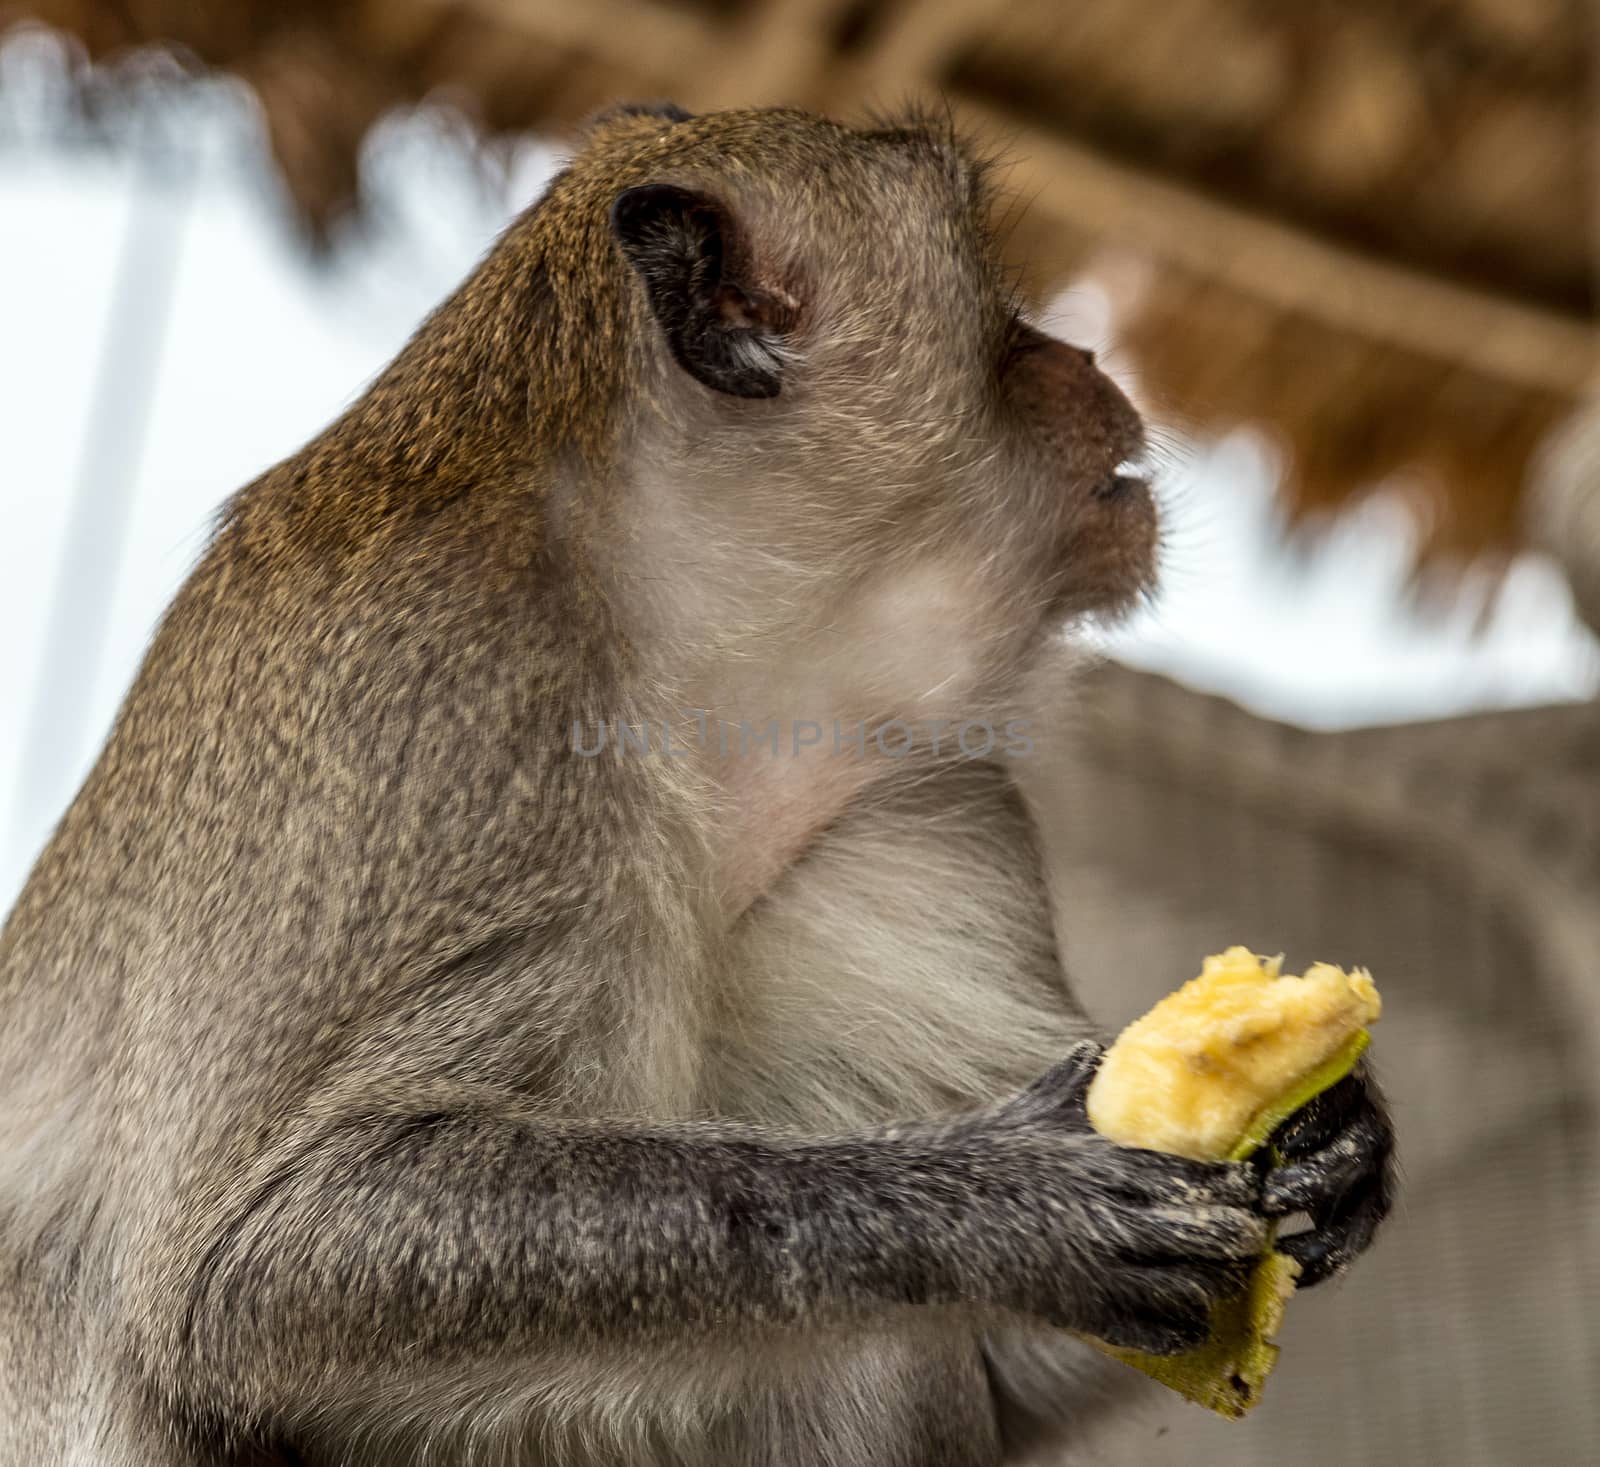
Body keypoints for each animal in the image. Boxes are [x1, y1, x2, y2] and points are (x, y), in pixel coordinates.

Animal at [0, 105, 1388, 1465]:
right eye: (996, 311)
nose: (1088, 363)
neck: (682, 660)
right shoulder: (438, 692)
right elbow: (242, 1268)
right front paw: (1009, 1202)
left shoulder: (929, 802)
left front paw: (1336, 1136)